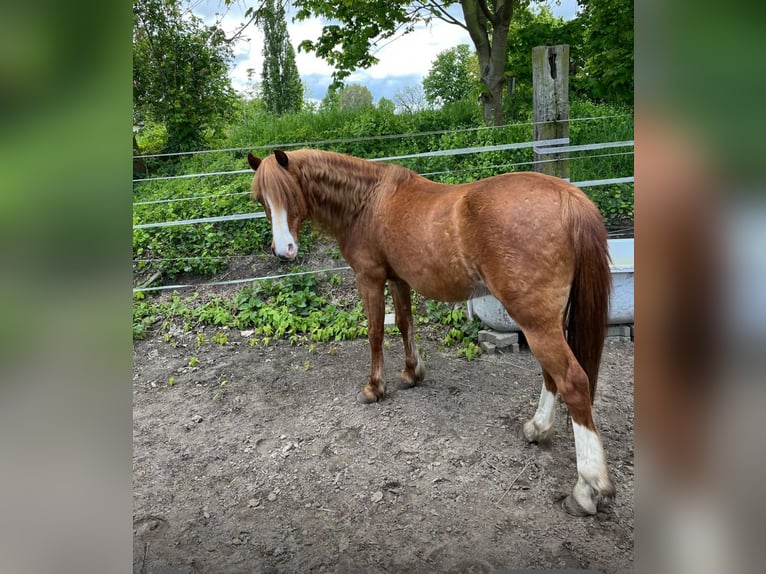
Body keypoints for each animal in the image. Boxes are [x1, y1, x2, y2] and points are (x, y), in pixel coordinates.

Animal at [249, 150, 616, 516]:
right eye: (261, 199)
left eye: (291, 193)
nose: (284, 250)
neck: (367, 202)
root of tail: (568, 197)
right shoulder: (398, 278)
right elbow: (404, 322)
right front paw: (412, 373)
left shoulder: (369, 278)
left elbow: (376, 332)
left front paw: (374, 388)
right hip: (549, 319)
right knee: (552, 375)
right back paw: (538, 429)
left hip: (535, 322)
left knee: (572, 381)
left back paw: (586, 489)